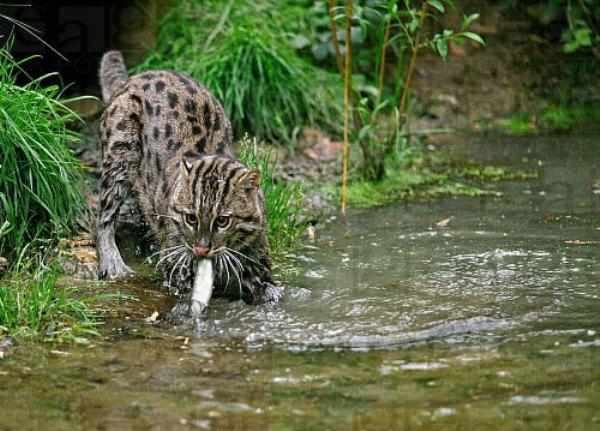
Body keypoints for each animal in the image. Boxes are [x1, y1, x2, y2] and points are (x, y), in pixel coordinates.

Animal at [96, 50, 282, 316]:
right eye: (190, 218)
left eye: (223, 221)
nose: (201, 249)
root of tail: (132, 79)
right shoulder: (177, 262)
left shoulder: (256, 256)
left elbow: (268, 286)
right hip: (120, 153)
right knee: (104, 216)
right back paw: (112, 262)